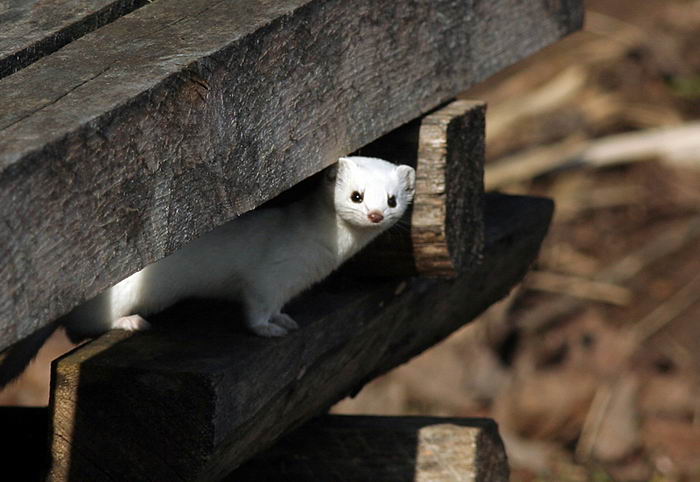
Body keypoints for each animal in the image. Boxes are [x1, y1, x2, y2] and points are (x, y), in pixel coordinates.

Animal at [0, 156, 416, 390]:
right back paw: (130, 322)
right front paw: (269, 329)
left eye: (392, 199)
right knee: (78, 325)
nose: (375, 214)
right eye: (356, 196)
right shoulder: (268, 276)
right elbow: (255, 309)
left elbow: (278, 307)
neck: (322, 254)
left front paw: (285, 319)